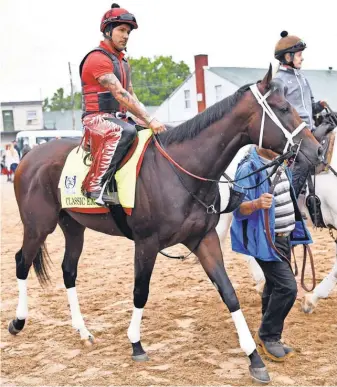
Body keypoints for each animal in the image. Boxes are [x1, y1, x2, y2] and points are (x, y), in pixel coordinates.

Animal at [9, 67, 322, 384]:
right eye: (284, 108)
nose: (318, 150)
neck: (181, 170)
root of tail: (29, 157)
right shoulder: (146, 244)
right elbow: (140, 292)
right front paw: (135, 343)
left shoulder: (203, 239)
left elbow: (228, 293)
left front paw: (254, 357)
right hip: (38, 226)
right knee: (22, 261)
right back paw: (19, 321)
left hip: (73, 227)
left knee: (68, 271)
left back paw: (82, 331)